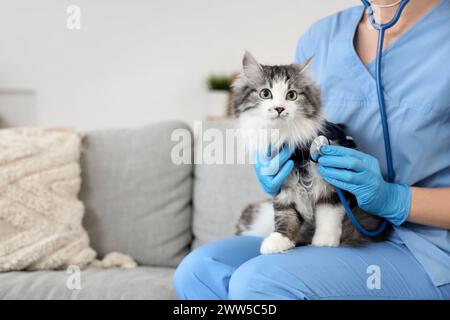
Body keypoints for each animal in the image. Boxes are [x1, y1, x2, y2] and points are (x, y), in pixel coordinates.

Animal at [230, 51, 388, 254]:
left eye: (291, 95)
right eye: (265, 93)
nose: (279, 108)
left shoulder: (331, 185)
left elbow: (329, 213)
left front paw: (325, 240)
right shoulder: (283, 185)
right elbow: (284, 215)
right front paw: (279, 240)